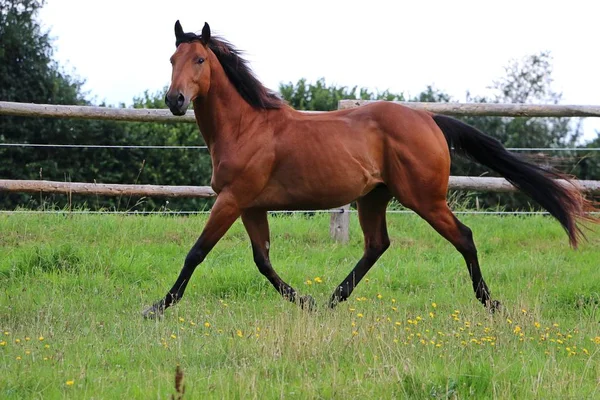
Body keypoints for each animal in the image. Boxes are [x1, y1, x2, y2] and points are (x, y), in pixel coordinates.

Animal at [142, 21, 596, 318]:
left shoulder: (232, 200)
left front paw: (157, 307)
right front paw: (305, 301)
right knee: (377, 245)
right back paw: (331, 301)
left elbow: (197, 252)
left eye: (200, 59)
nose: (174, 100)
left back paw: (491, 303)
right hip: (374, 197)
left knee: (464, 237)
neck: (246, 127)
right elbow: (263, 260)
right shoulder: (251, 205)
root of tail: (430, 119)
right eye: (171, 58)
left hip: (423, 198)